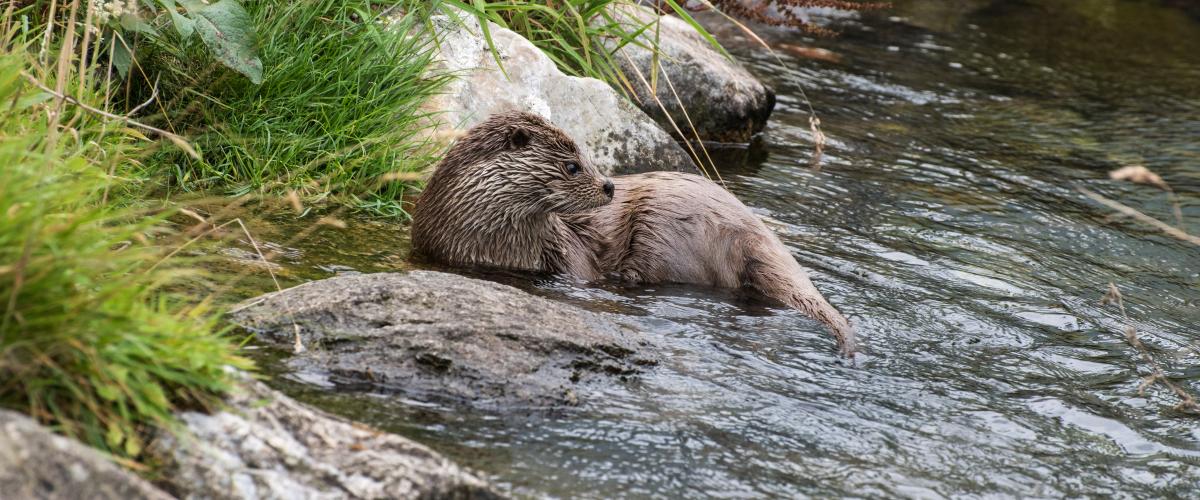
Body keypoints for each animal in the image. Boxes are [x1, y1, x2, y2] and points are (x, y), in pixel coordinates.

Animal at [412, 111, 857, 356]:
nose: (609, 186)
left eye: (588, 157)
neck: (488, 243)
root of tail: (752, 232)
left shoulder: (571, 262)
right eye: (573, 166)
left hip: (665, 227)